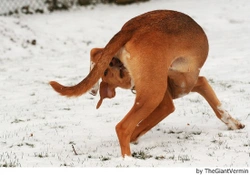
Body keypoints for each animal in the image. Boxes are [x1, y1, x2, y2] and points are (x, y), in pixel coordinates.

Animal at [49, 9, 245, 157]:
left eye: (114, 72)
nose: (116, 65)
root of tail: (132, 28)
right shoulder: (171, 99)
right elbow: (140, 127)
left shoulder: (191, 85)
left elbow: (217, 107)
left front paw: (233, 124)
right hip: (153, 96)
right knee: (123, 127)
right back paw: (128, 159)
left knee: (95, 51)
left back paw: (93, 85)